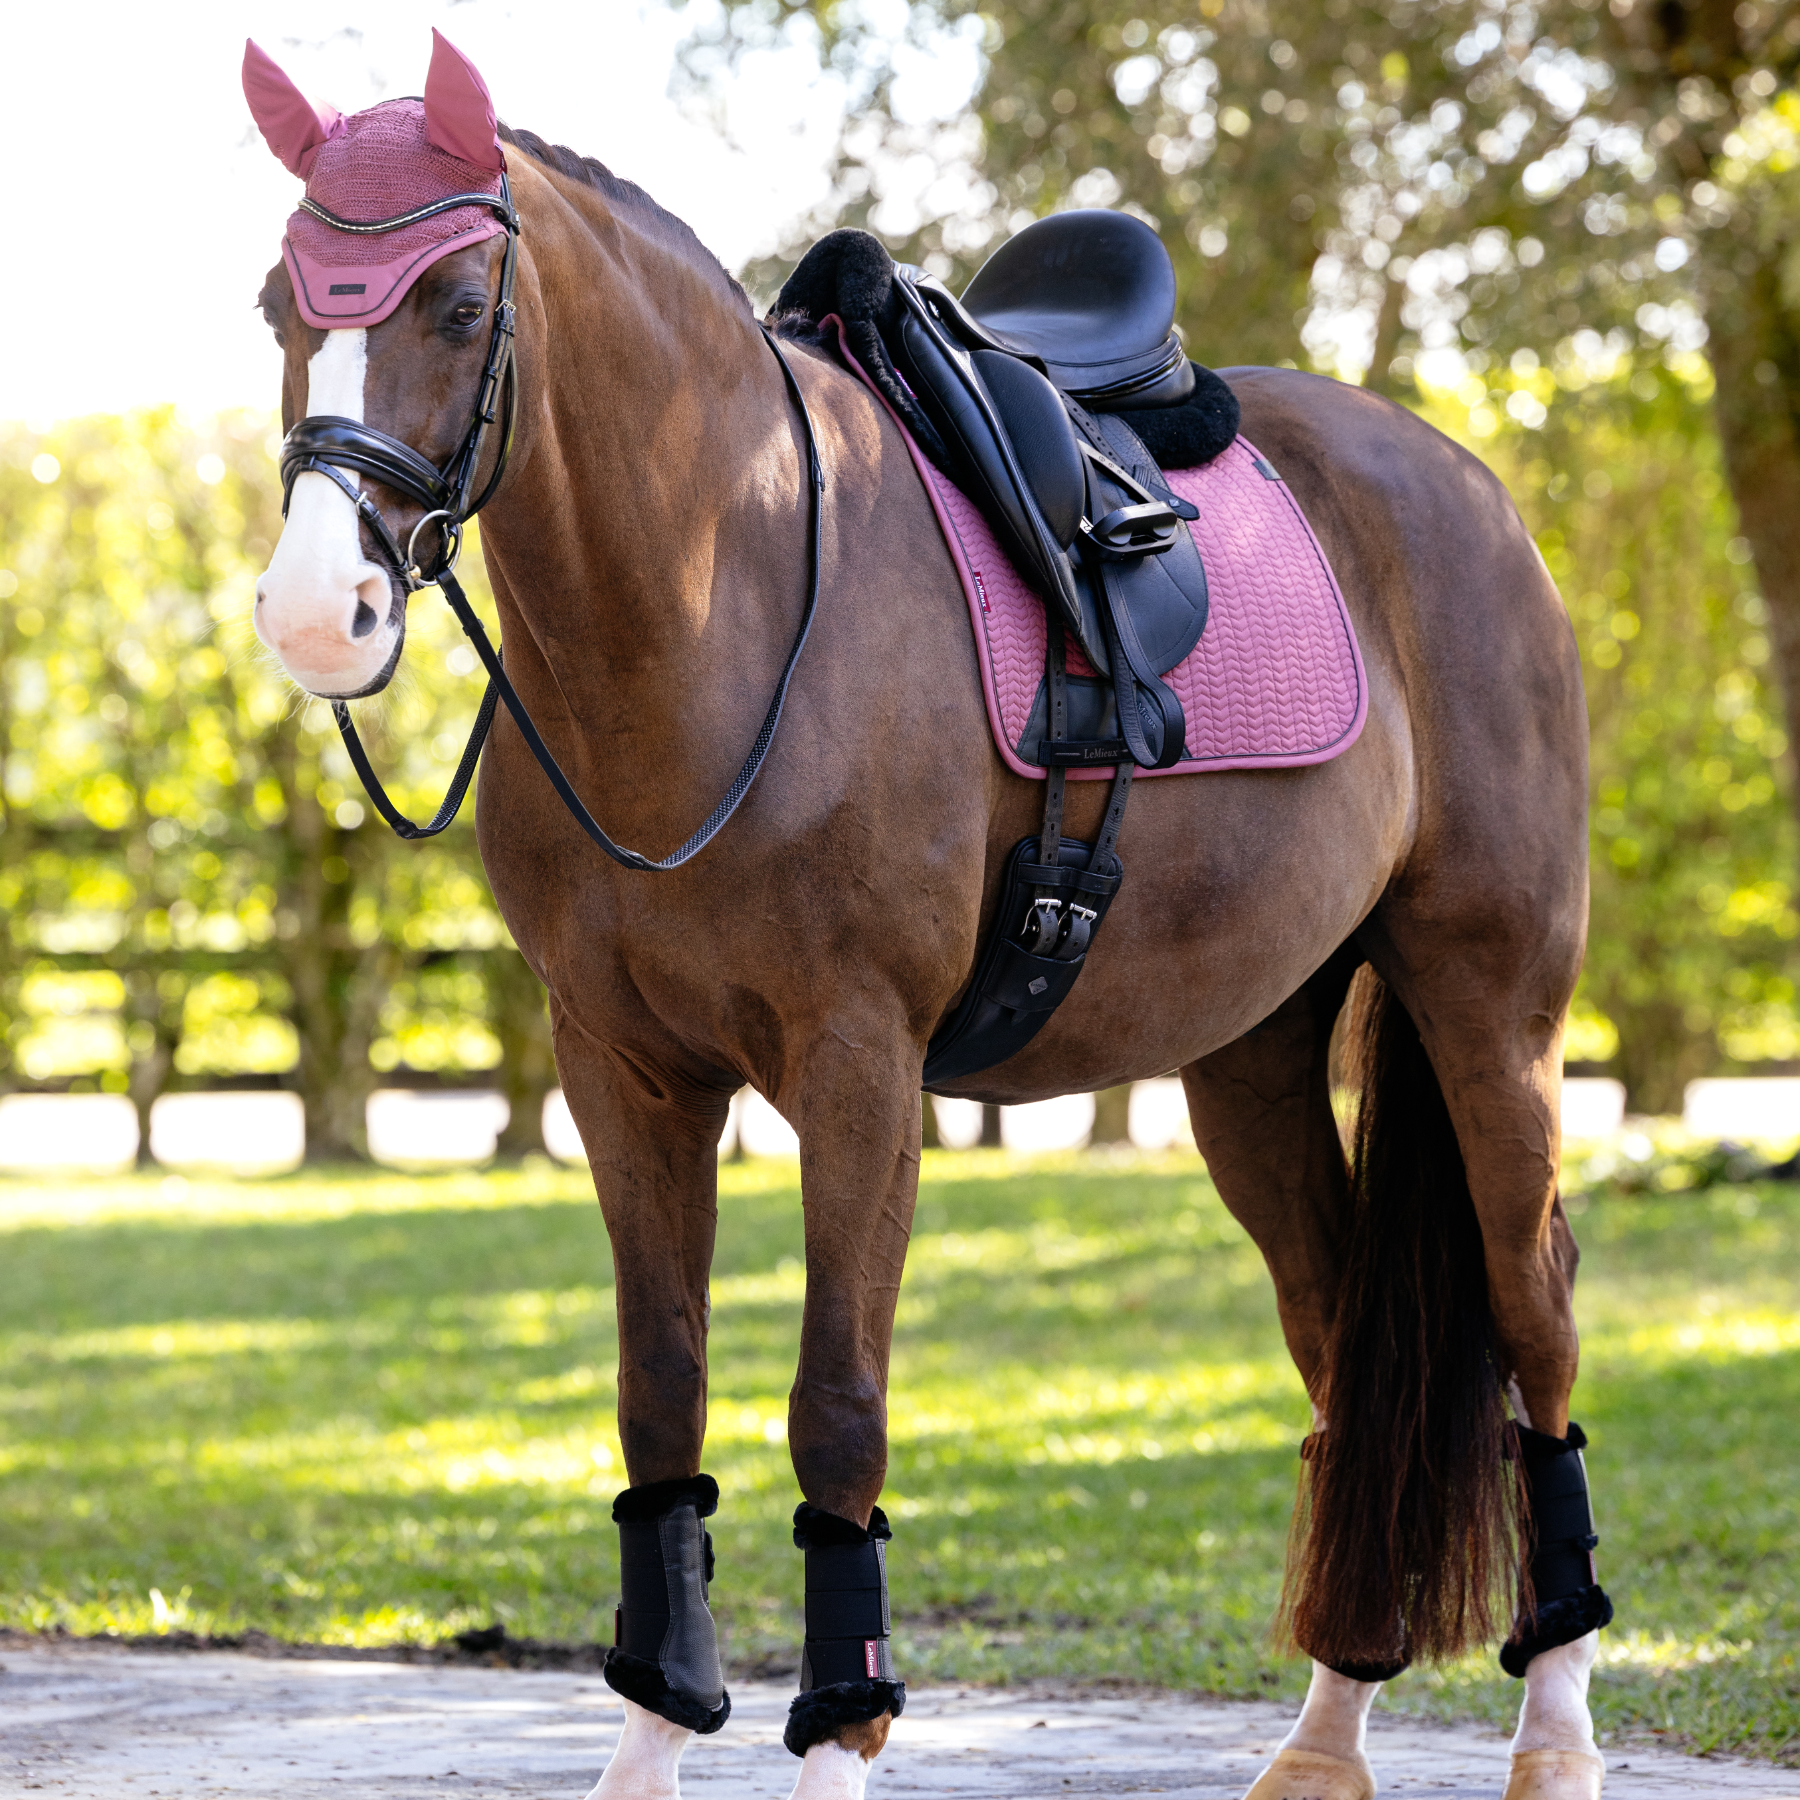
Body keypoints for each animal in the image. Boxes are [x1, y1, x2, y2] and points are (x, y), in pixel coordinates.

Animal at [243, 31, 1605, 1800]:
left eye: (463, 305)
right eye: (280, 305)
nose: (311, 611)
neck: (721, 598)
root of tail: (1467, 486)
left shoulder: (859, 1069)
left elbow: (836, 1407)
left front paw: (841, 1733)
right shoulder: (621, 1071)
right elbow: (660, 1395)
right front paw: (650, 1735)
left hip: (1490, 1009)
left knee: (1536, 1311)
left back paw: (1555, 1729)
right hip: (1250, 1057)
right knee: (1339, 1342)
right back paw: (1323, 1734)